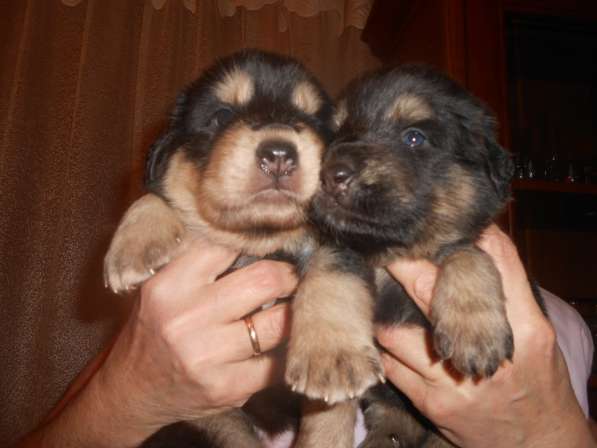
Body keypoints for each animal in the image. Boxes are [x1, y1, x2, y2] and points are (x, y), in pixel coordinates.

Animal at [103, 50, 382, 448]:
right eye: (222, 116)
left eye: (314, 122)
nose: (279, 153)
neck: (260, 240)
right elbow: (158, 193)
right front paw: (134, 247)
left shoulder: (342, 240)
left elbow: (332, 274)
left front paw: (331, 355)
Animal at [310, 65, 516, 446]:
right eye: (338, 133)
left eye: (414, 138)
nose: (330, 175)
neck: (390, 254)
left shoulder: (462, 242)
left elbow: (467, 254)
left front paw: (474, 330)